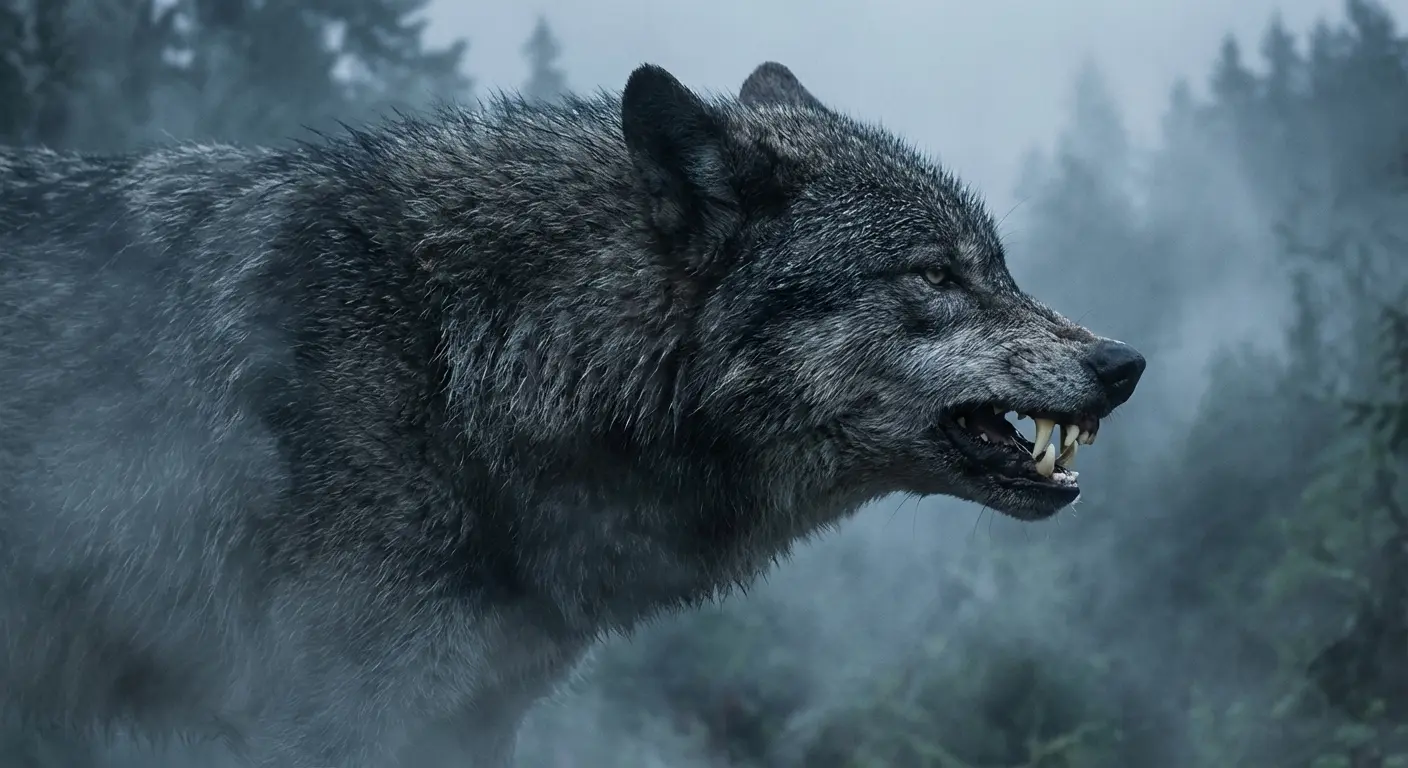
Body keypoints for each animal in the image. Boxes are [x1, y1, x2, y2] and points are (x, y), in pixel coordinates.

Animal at [0, 61, 1144, 767]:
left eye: (999, 267)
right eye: (936, 275)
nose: (1125, 363)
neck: (466, 360)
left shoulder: (466, 724)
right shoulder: (322, 722)